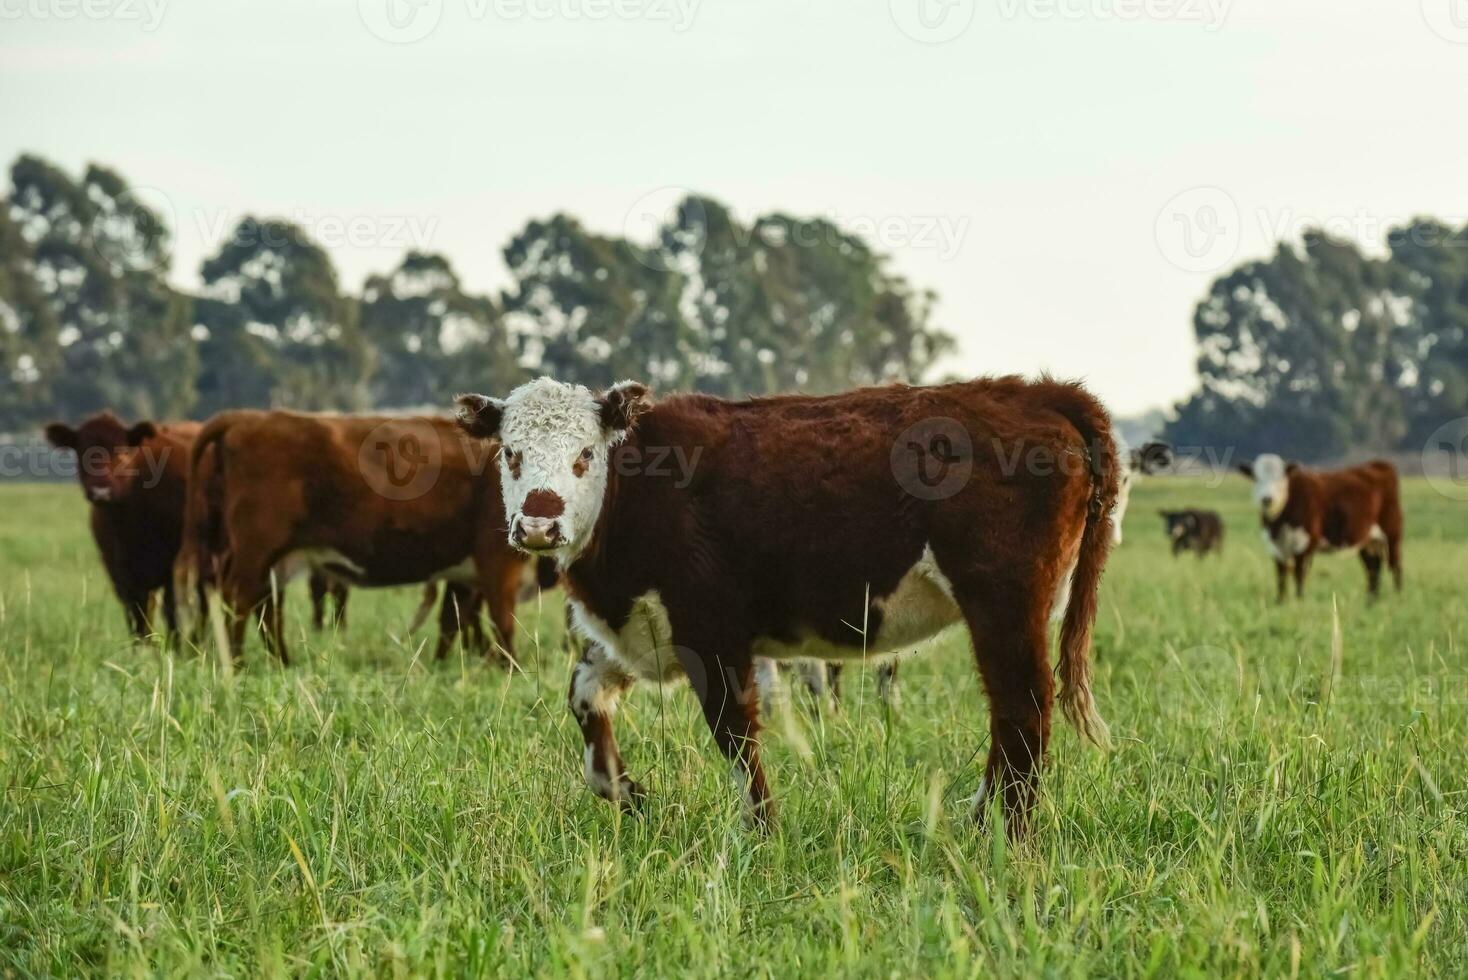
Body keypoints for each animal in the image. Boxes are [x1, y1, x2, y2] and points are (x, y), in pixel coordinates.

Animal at [176, 404, 534, 666]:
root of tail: (249, 417)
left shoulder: (464, 574)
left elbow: (453, 621)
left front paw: (444, 666)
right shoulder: (499, 561)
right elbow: (502, 620)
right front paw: (510, 668)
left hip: (273, 560)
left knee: (264, 608)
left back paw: (281, 662)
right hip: (256, 551)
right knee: (238, 600)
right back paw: (237, 663)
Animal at [452, 375, 1115, 833]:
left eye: (584, 455)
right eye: (510, 453)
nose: (539, 524)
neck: (636, 490)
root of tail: (1038, 393)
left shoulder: (712, 632)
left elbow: (735, 732)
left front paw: (759, 829)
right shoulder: (638, 631)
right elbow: (586, 703)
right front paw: (628, 790)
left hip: (1003, 603)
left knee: (1024, 710)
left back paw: (1000, 833)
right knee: (1014, 717)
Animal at [1244, 454, 1403, 601]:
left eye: (1280, 478)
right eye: (1256, 478)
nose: (1267, 499)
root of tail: (1378, 464)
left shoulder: (1305, 543)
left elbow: (1299, 574)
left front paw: (1299, 599)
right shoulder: (1275, 547)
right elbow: (1281, 575)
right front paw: (1280, 601)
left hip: (1392, 534)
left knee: (1395, 566)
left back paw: (1397, 597)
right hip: (1368, 541)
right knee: (1373, 569)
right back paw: (1370, 602)